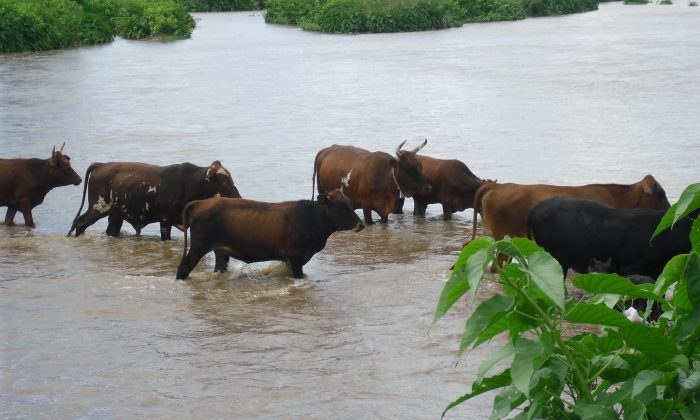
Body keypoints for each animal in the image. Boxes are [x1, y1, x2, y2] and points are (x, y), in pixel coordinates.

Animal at [68, 161, 242, 240]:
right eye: (224, 180)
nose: (238, 197)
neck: (191, 183)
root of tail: (102, 165)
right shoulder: (165, 221)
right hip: (98, 207)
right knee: (80, 222)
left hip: (115, 215)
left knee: (111, 230)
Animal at [175, 189, 364, 280]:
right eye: (342, 207)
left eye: (350, 204)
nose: (361, 224)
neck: (311, 219)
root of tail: (201, 203)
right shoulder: (295, 256)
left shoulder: (290, 259)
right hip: (198, 247)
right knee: (183, 268)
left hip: (221, 251)